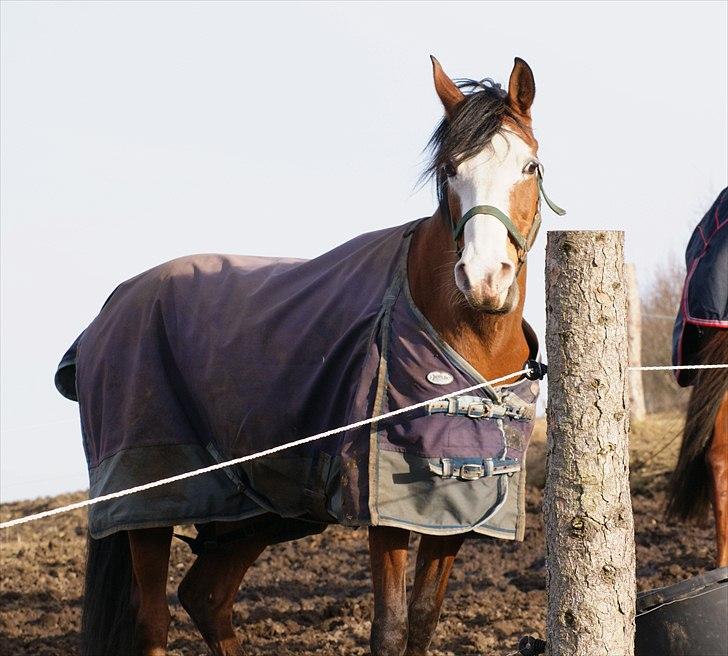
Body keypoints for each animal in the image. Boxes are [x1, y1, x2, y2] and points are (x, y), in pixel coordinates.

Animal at [77, 57, 548, 656]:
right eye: (449, 171)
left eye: (529, 166)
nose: (484, 278)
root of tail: (112, 306)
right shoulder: (383, 511)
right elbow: (390, 625)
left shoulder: (454, 512)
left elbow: (422, 619)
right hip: (150, 502)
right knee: (154, 619)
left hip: (256, 511)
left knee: (207, 596)